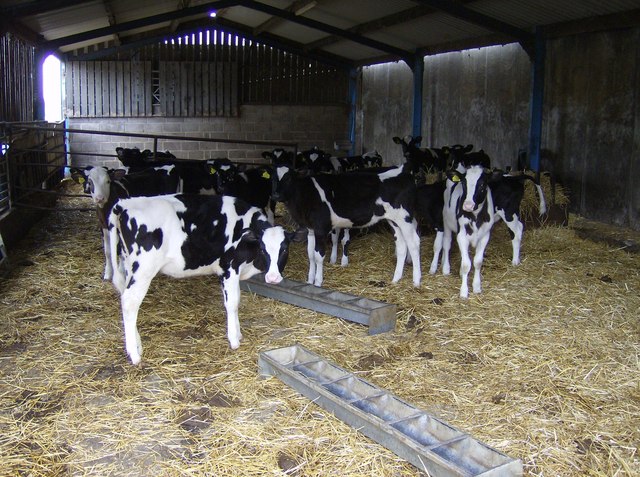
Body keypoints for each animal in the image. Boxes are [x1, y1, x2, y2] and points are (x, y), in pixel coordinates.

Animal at [109, 193, 298, 364]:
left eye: (285, 249)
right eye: (263, 249)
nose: (273, 277)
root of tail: (125, 204)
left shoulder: (236, 272)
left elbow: (237, 300)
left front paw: (238, 333)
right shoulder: (228, 268)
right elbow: (231, 303)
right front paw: (233, 340)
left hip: (129, 266)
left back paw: (138, 345)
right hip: (143, 270)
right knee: (130, 302)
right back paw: (134, 354)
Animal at [274, 164, 420, 286]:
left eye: (288, 178)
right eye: (273, 180)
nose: (276, 195)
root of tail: (404, 171)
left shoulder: (321, 229)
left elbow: (319, 256)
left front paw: (318, 282)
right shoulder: (310, 229)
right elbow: (310, 254)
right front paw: (310, 280)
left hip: (404, 218)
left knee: (413, 243)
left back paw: (416, 281)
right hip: (394, 220)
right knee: (401, 245)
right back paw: (396, 279)